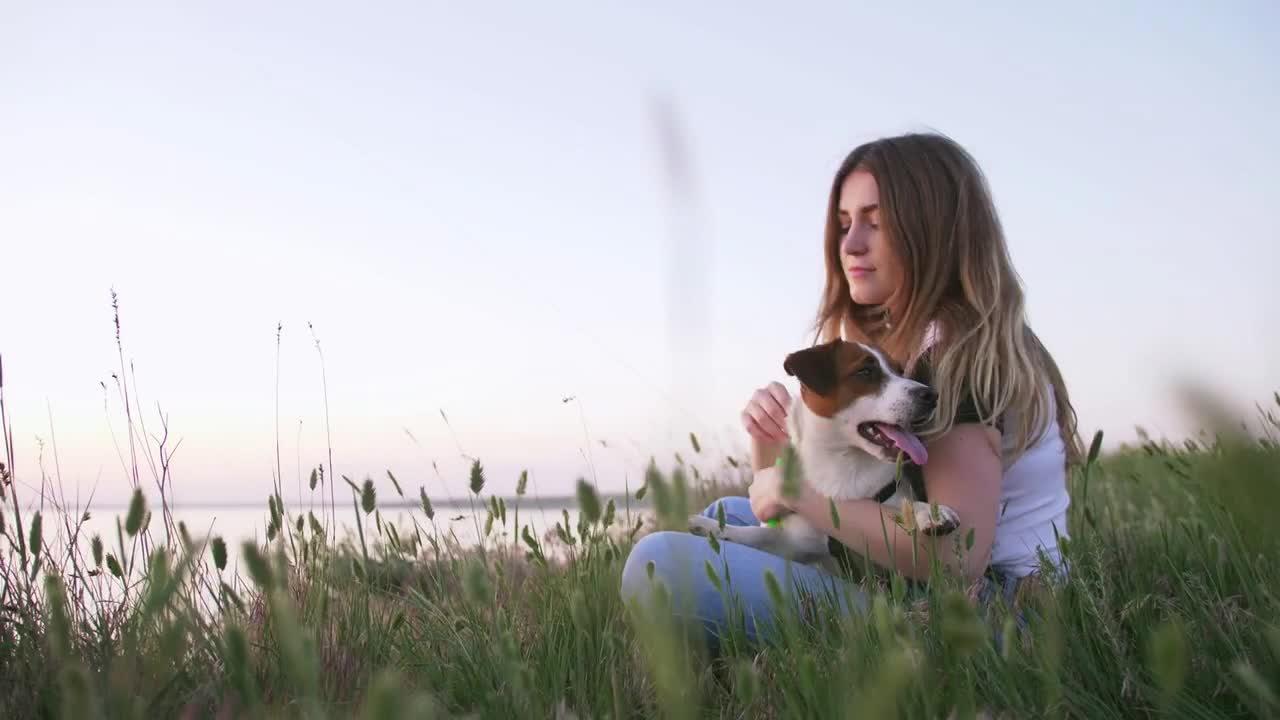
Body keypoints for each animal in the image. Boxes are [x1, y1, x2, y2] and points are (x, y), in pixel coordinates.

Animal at [691, 338, 962, 563]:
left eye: (899, 371)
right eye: (865, 371)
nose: (931, 395)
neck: (843, 462)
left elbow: (904, 507)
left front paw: (929, 511)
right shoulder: (800, 543)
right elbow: (757, 535)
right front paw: (711, 527)